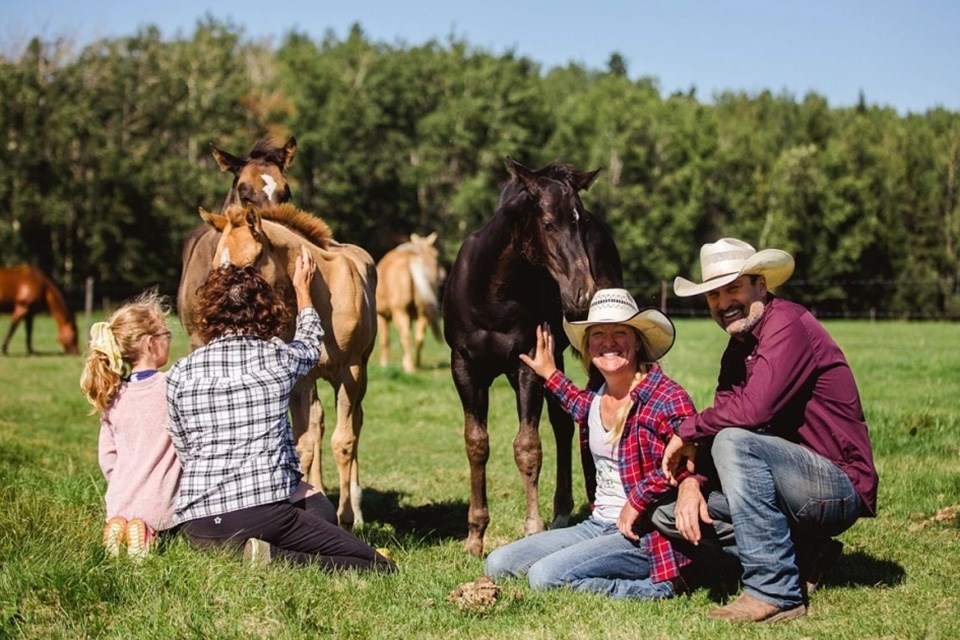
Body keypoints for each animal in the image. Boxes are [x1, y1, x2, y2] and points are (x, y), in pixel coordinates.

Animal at [191, 202, 378, 528]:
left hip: (362, 372)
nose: (218, 313)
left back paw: (356, 511)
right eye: (216, 265)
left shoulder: (350, 372)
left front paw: (344, 517)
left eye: (248, 264)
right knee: (318, 423)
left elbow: (343, 442)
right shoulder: (300, 379)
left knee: (355, 423)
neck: (321, 296)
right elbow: (304, 444)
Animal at [376, 231, 448, 372]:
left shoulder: (381, 315)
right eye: (436, 254)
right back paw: (417, 364)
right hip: (423, 312)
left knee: (406, 336)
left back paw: (410, 368)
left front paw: (384, 364)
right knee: (419, 338)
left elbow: (385, 340)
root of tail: (412, 261)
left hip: (400, 312)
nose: (443, 275)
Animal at [440, 159, 624, 556]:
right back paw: (562, 511)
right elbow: (476, 442)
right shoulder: (464, 366)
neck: (491, 292)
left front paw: (531, 529)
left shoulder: (526, 366)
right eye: (548, 223)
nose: (582, 294)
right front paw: (474, 537)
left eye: (581, 222)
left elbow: (527, 446)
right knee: (563, 421)